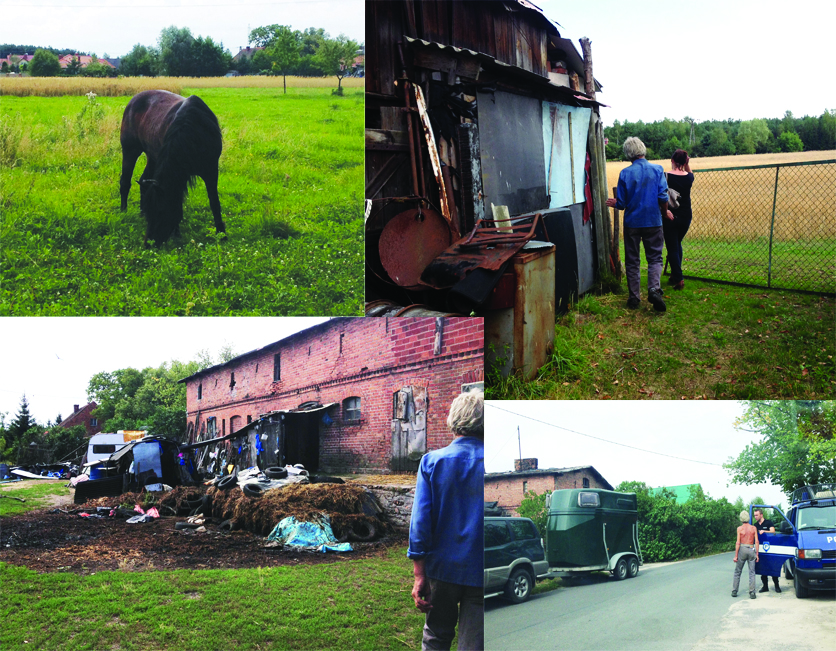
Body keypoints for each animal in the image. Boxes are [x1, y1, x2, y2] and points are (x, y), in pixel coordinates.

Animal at [120, 89, 225, 244]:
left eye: (161, 212)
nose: (149, 244)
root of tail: (133, 100)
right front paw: (177, 233)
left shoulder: (210, 170)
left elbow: (214, 202)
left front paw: (222, 234)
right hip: (130, 150)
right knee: (125, 182)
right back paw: (123, 211)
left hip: (152, 156)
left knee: (144, 180)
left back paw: (140, 212)